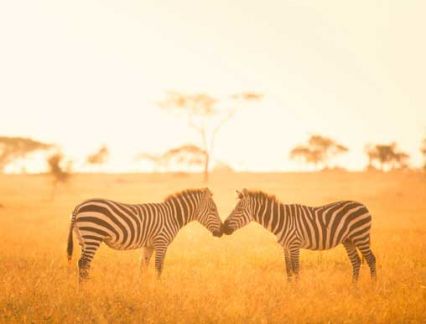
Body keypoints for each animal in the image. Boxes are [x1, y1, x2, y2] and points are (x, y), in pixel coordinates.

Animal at [66, 187, 223, 280]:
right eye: (213, 210)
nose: (222, 231)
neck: (173, 216)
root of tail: (78, 206)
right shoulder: (161, 242)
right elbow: (159, 267)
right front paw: (157, 289)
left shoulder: (150, 245)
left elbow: (143, 267)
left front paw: (142, 289)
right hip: (93, 235)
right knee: (84, 263)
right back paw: (84, 290)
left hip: (83, 239)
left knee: (83, 264)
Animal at [223, 189, 376, 282]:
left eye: (239, 210)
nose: (224, 227)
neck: (282, 220)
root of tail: (364, 206)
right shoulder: (285, 246)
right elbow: (288, 268)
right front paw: (289, 289)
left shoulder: (294, 244)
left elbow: (296, 268)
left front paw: (297, 291)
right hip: (348, 240)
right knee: (356, 261)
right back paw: (353, 288)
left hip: (360, 236)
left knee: (371, 259)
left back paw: (373, 287)